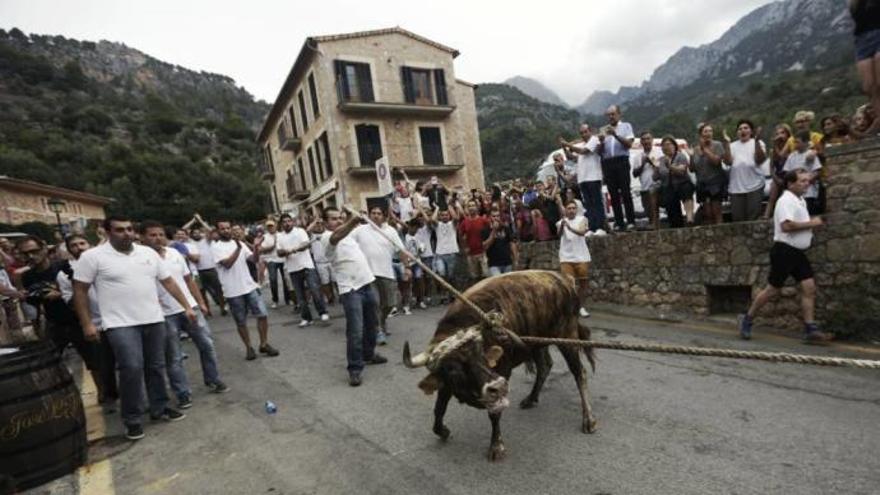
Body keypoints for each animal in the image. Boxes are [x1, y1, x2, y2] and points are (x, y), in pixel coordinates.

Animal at [404, 272, 600, 462]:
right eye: (453, 369)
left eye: (481, 354)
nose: (496, 386)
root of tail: (564, 279)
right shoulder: (446, 383)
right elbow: (439, 408)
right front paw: (442, 430)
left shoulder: (503, 373)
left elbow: (494, 414)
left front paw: (496, 447)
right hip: (536, 343)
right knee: (545, 366)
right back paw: (531, 398)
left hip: (567, 337)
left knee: (579, 372)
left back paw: (589, 420)